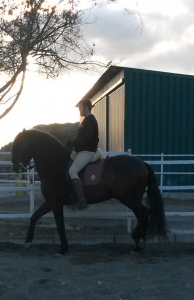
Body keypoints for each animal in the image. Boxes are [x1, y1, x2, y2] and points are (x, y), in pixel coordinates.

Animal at [11, 129, 167, 255]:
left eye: (20, 144)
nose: (15, 167)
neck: (55, 165)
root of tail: (142, 163)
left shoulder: (56, 203)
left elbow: (60, 225)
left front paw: (63, 249)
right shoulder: (50, 202)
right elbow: (34, 217)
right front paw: (28, 242)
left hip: (129, 199)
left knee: (144, 213)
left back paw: (138, 243)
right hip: (133, 199)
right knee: (144, 214)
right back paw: (139, 244)